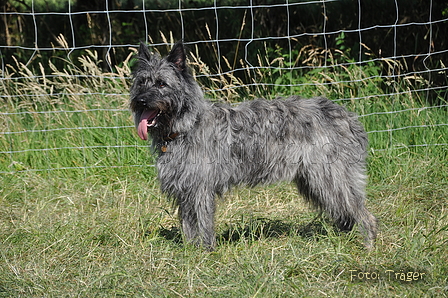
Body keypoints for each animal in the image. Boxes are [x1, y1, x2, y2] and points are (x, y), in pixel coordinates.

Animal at [130, 41, 378, 251]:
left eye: (161, 83)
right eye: (141, 82)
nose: (140, 101)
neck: (186, 125)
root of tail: (347, 117)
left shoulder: (199, 188)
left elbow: (201, 222)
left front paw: (205, 251)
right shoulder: (185, 189)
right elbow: (189, 225)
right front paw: (191, 250)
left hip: (330, 178)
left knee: (363, 213)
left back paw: (368, 245)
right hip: (315, 181)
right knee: (345, 213)